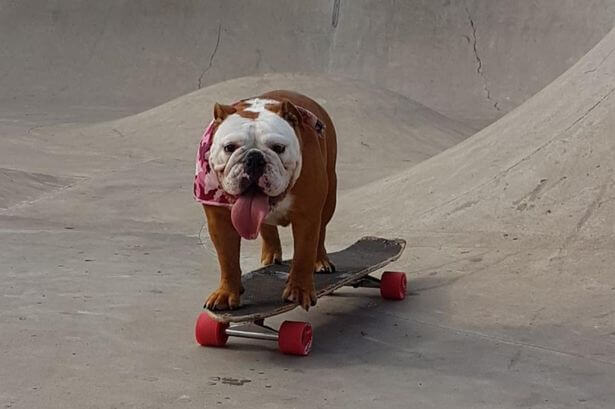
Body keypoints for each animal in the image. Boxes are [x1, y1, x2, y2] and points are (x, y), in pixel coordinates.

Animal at [194, 91, 336, 310]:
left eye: (278, 148)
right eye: (229, 147)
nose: (254, 158)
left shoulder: (307, 216)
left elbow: (304, 254)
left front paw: (299, 290)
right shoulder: (219, 221)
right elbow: (227, 259)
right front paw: (226, 293)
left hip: (329, 199)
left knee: (320, 233)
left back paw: (320, 260)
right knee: (266, 228)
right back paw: (270, 255)